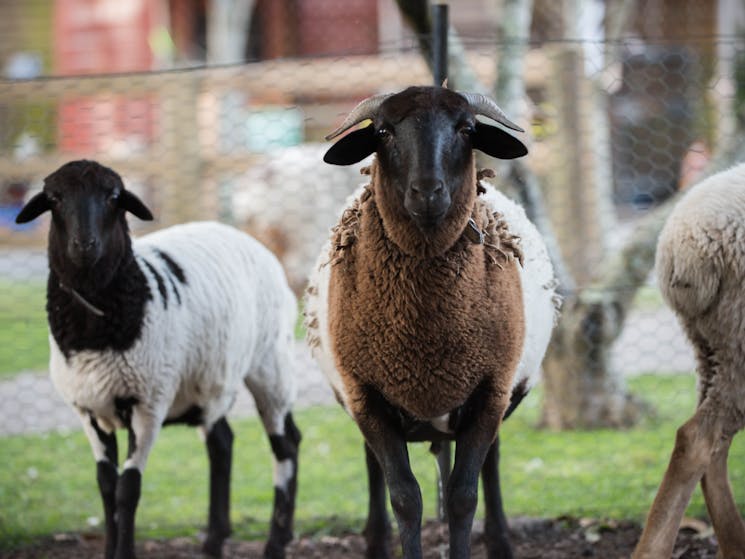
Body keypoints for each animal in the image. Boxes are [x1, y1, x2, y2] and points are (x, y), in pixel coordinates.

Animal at [14, 161, 300, 559]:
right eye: (54, 198)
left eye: (114, 196)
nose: (84, 246)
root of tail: (241, 234)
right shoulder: (87, 408)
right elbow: (106, 485)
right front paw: (109, 550)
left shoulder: (148, 402)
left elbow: (128, 488)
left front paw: (124, 553)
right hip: (209, 380)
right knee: (223, 442)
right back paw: (215, 540)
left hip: (270, 364)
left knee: (285, 447)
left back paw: (275, 542)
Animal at [302, 84, 560, 559]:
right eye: (382, 131)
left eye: (468, 129)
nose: (427, 192)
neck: (424, 341)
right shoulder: (366, 395)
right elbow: (405, 497)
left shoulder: (490, 391)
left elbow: (462, 496)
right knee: (373, 468)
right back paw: (375, 544)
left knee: (491, 465)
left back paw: (500, 543)